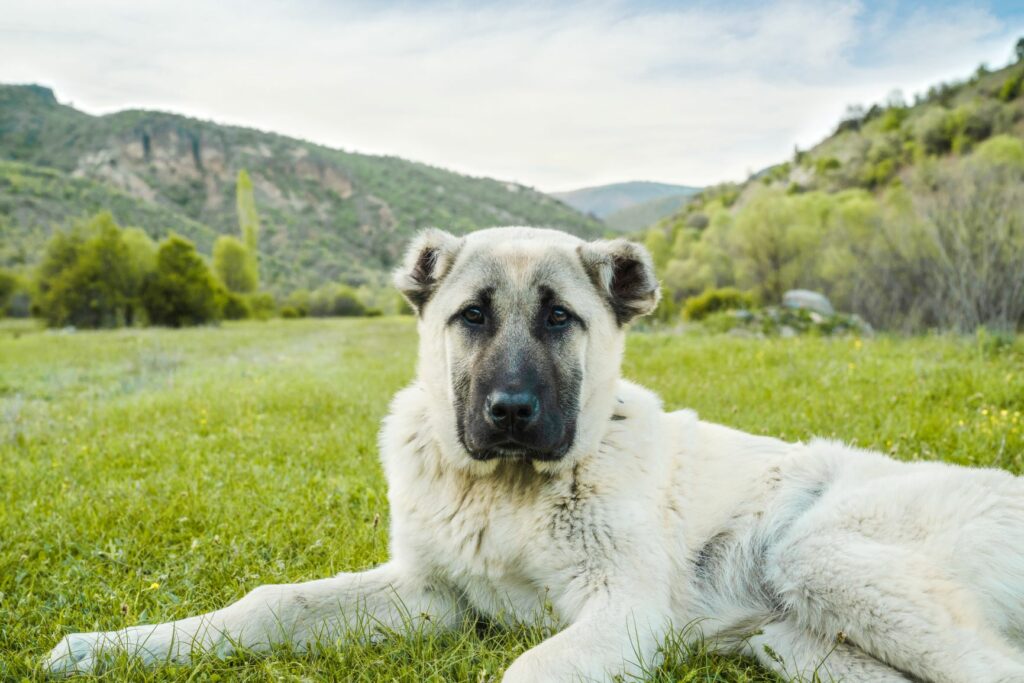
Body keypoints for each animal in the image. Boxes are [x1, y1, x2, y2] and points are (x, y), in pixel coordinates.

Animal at [46, 227, 1024, 679]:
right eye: (472, 316)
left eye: (559, 318)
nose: (511, 411)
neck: (507, 491)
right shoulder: (430, 594)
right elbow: (268, 603)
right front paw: (116, 646)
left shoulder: (624, 610)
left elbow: (531, 663)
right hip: (797, 641)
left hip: (819, 552)